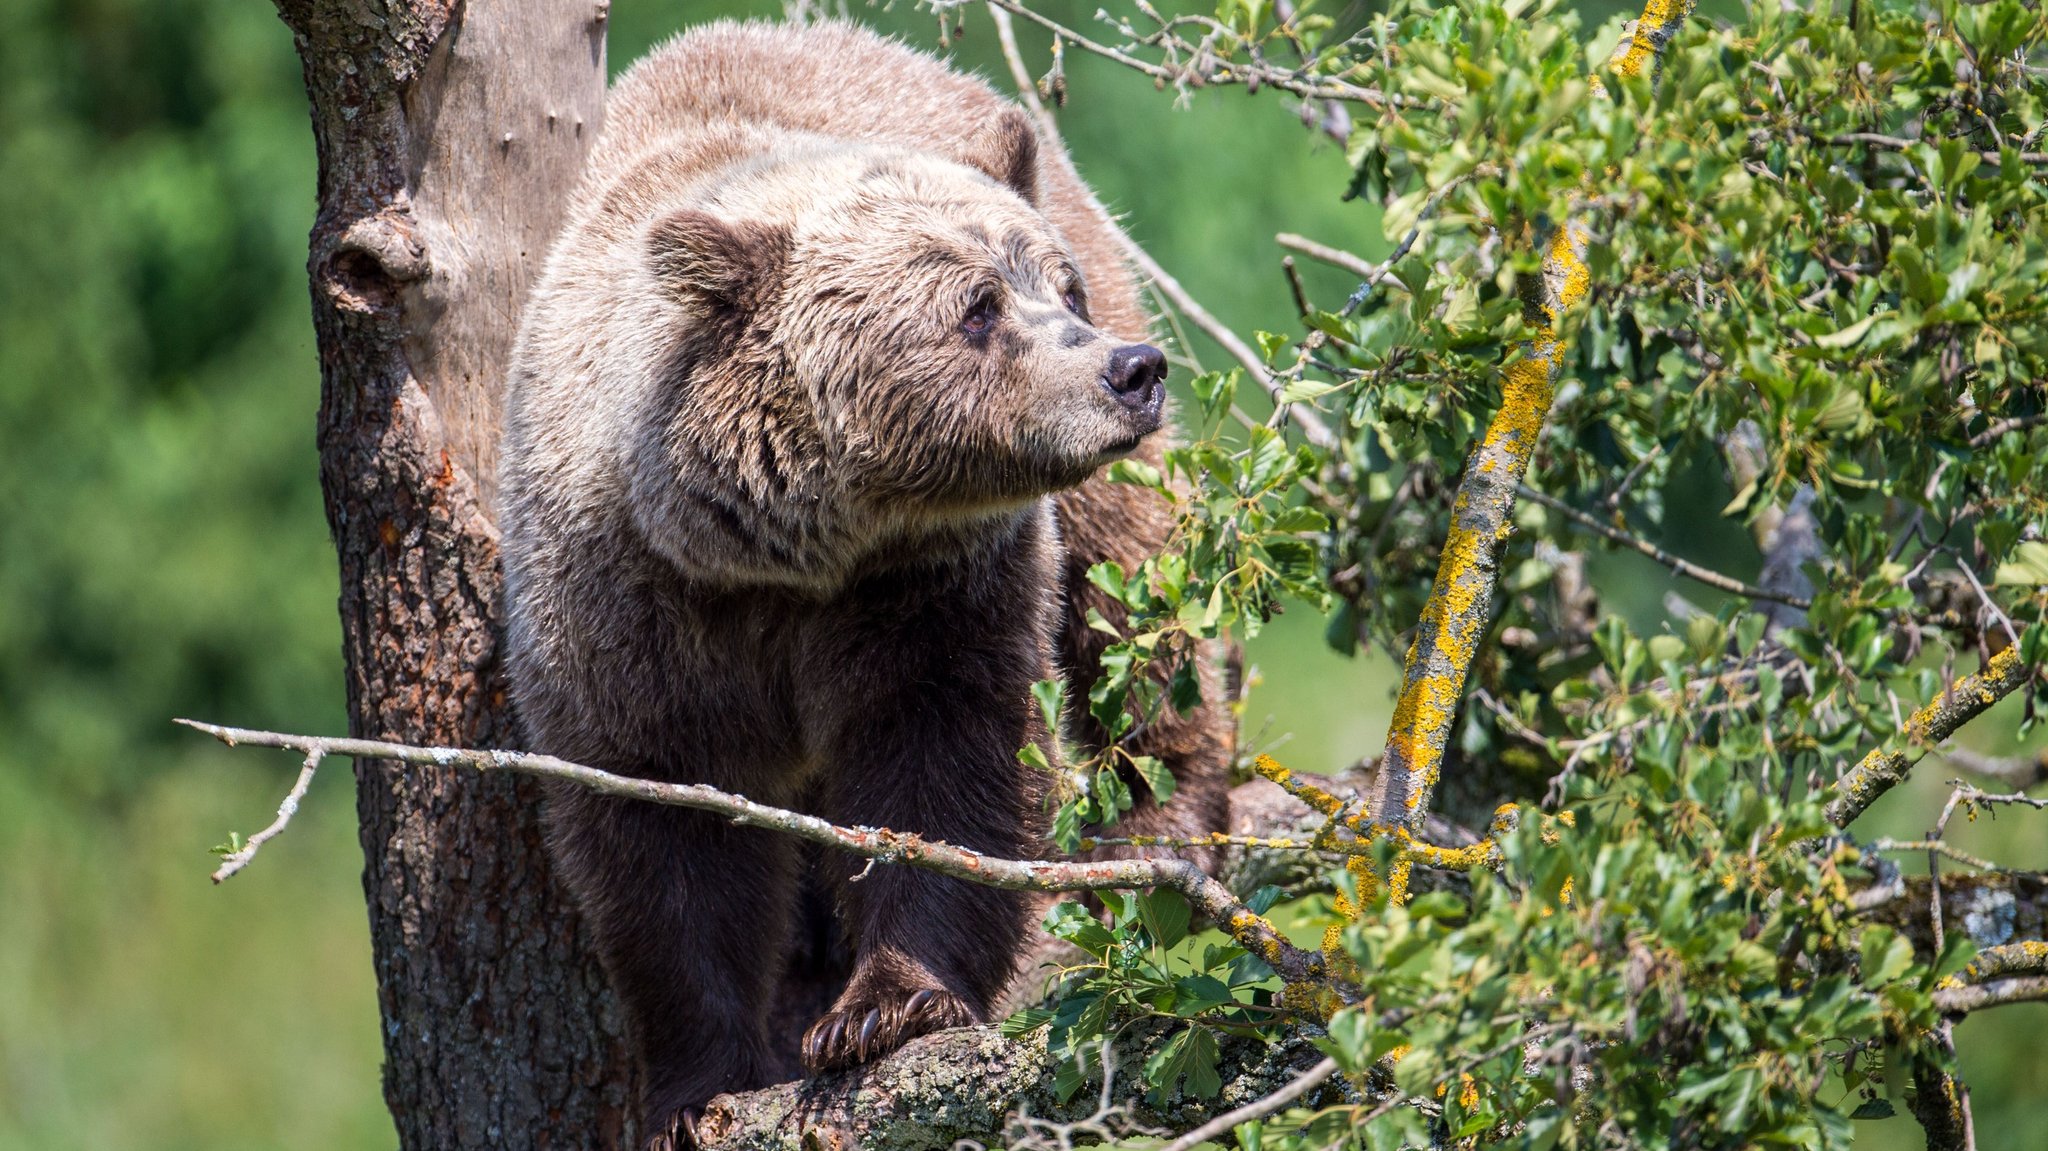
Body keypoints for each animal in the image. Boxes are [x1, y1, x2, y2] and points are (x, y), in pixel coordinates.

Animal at [499, 18, 1235, 1145]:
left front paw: (885, 1005)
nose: (1130, 369)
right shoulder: (627, 608)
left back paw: (1161, 823)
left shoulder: (931, 588)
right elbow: (661, 832)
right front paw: (700, 1081)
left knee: (1132, 603)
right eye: (977, 307)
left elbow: (945, 761)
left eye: (1056, 287)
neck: (791, 550)